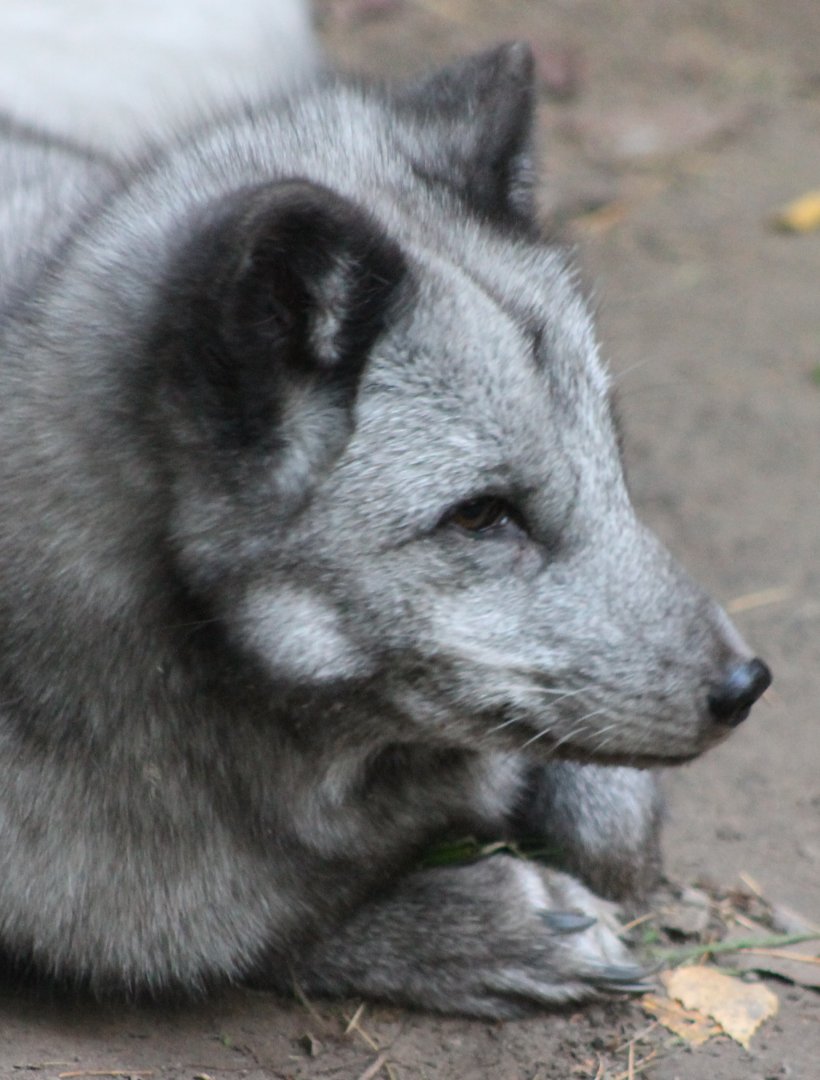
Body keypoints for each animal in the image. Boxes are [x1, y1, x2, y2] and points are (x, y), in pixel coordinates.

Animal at [0, 30, 770, 1017]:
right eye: (480, 514)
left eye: (611, 457)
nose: (747, 685)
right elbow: (252, 938)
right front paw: (487, 922)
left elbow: (616, 837)